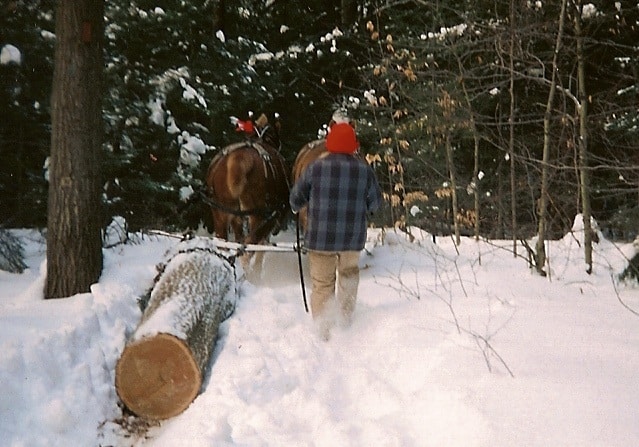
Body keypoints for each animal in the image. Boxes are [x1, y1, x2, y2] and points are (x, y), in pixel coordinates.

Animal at [206, 114, 292, 274]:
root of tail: (238, 160)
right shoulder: (270, 220)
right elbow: (261, 249)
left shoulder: (236, 218)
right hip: (257, 215)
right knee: (248, 249)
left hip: (219, 211)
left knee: (225, 244)